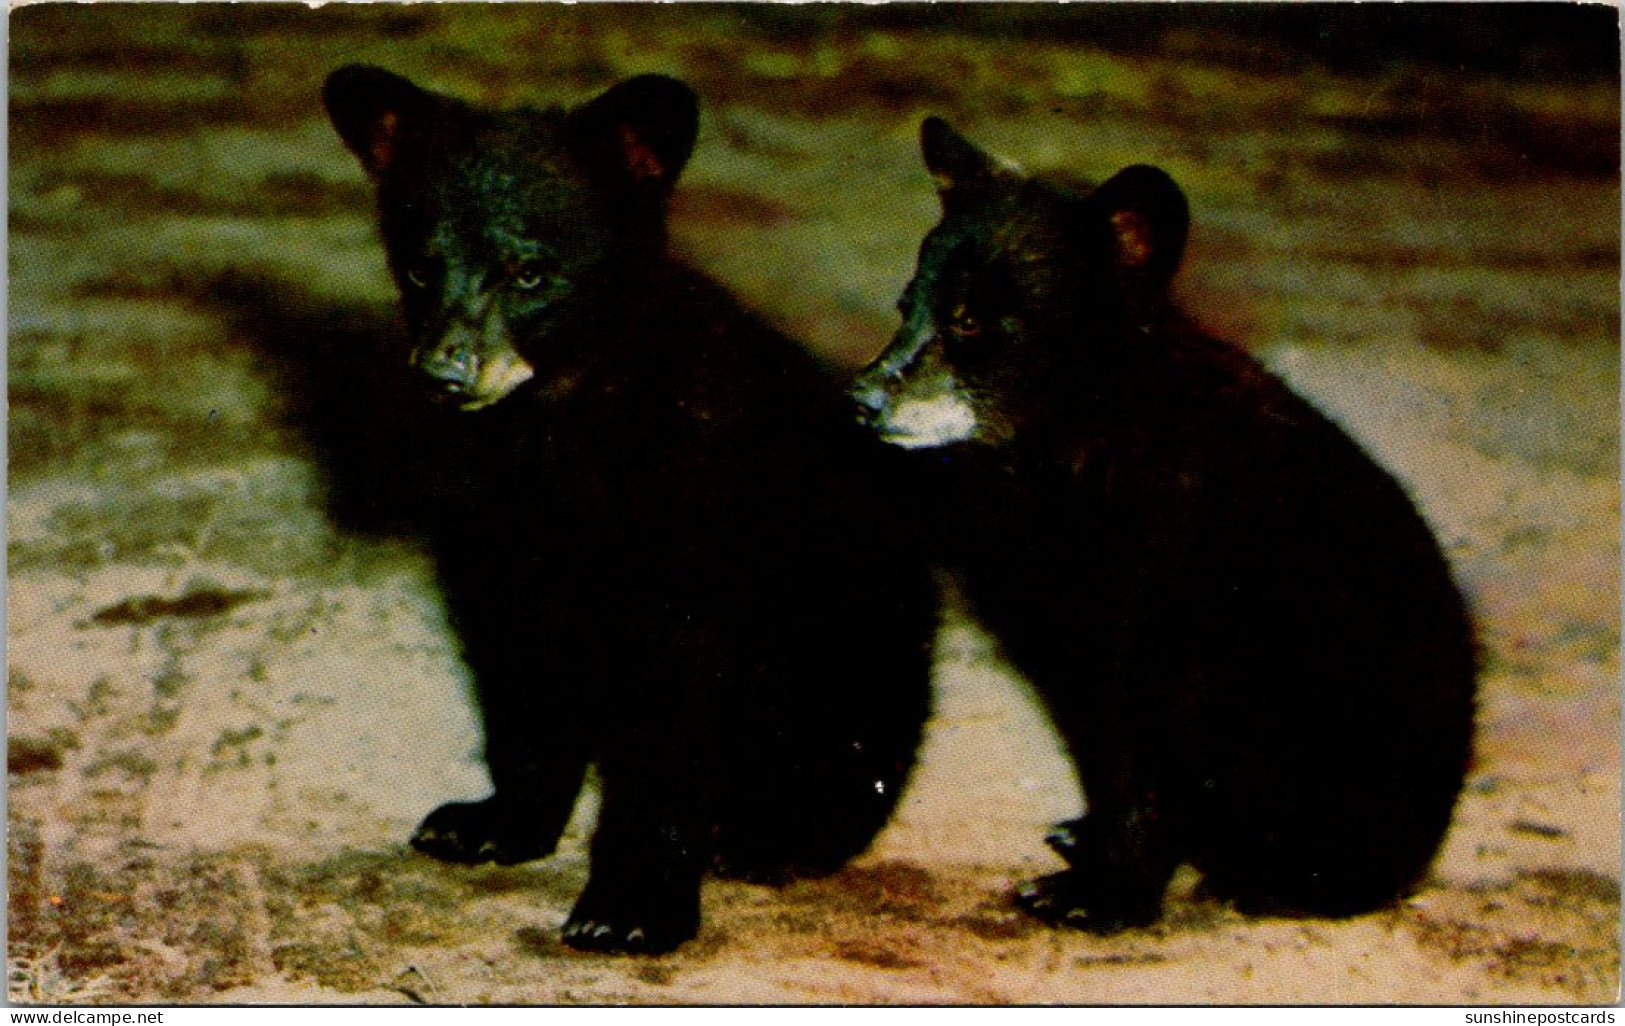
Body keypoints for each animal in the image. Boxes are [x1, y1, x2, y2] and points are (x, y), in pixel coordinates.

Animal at [320, 66, 942, 956]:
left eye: (528, 272)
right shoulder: (510, 540)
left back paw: (764, 835)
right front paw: (491, 823)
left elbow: (672, 728)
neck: (563, 423)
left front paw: (631, 904)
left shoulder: (692, 532)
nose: (444, 371)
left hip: (854, 654)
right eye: (417, 268)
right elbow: (527, 682)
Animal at [858, 116, 1482, 936]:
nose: (862, 398)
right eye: (906, 306)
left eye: (970, 322)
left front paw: (1102, 895)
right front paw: (1094, 848)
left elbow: (1142, 765)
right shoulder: (1072, 637)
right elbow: (1105, 755)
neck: (1087, 450)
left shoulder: (1167, 623)